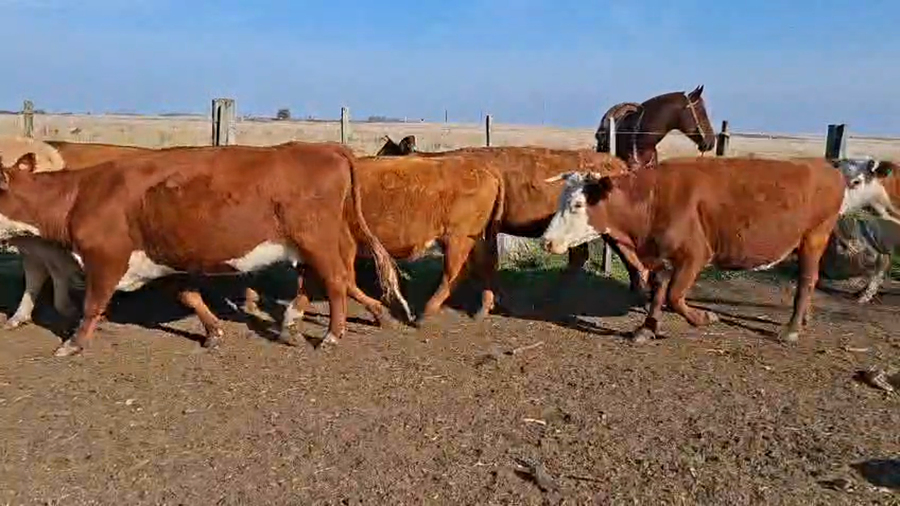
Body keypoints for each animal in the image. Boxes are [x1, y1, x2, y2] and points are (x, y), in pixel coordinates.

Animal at [0, 141, 411, 357]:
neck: (80, 194)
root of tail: (324, 146)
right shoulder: (165, 259)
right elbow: (189, 295)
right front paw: (213, 331)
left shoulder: (105, 257)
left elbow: (92, 305)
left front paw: (73, 343)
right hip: (305, 244)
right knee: (317, 280)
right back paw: (292, 322)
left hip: (317, 239)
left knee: (337, 280)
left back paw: (331, 334)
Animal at [540, 156, 894, 344]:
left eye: (578, 204)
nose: (546, 241)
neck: (653, 200)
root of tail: (825, 167)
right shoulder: (659, 257)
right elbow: (658, 292)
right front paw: (646, 328)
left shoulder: (694, 255)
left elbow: (675, 297)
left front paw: (704, 317)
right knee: (812, 277)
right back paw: (803, 319)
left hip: (814, 236)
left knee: (807, 280)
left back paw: (792, 328)